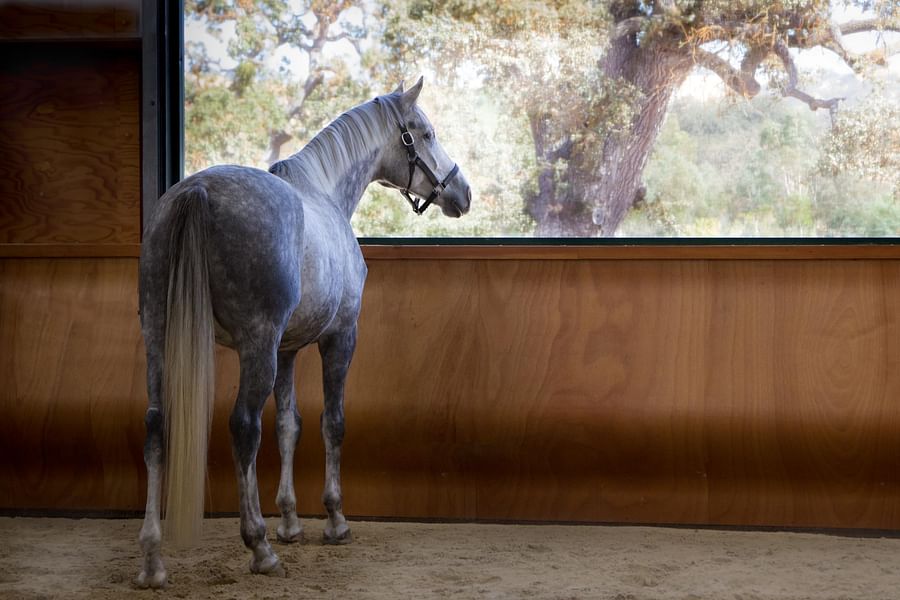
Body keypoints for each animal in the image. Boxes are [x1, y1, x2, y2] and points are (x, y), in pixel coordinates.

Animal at [135, 78, 471, 588]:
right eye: (425, 133)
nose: (462, 193)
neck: (325, 193)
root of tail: (197, 191)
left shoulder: (288, 350)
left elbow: (288, 426)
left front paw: (291, 522)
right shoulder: (340, 338)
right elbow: (332, 423)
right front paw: (334, 521)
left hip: (159, 337)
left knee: (157, 426)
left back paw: (153, 560)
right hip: (256, 346)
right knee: (243, 427)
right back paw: (258, 546)